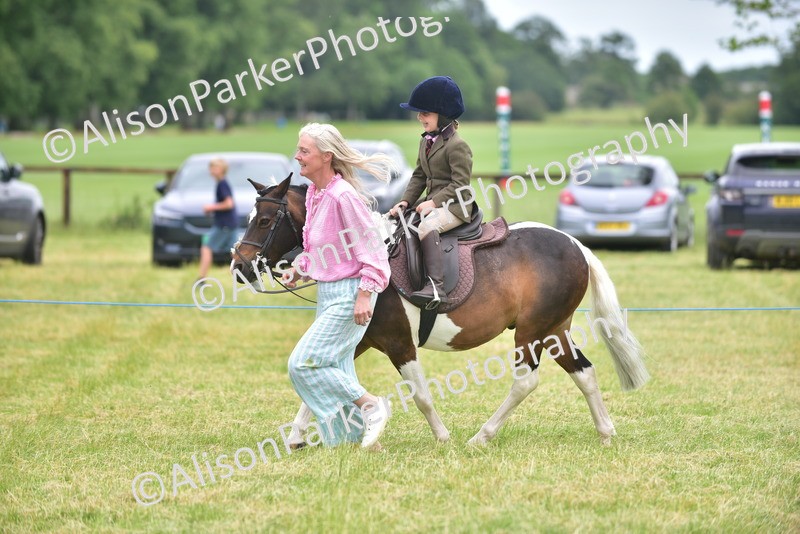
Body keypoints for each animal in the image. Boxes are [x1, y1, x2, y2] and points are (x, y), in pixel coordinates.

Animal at [231, 175, 649, 447]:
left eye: (264, 220)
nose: (239, 266)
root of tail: (576, 245)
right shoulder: (361, 339)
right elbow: (316, 379)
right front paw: (296, 437)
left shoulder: (400, 343)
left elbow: (421, 395)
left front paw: (442, 437)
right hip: (554, 329)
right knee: (584, 373)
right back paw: (606, 433)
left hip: (531, 332)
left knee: (526, 382)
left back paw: (482, 436)